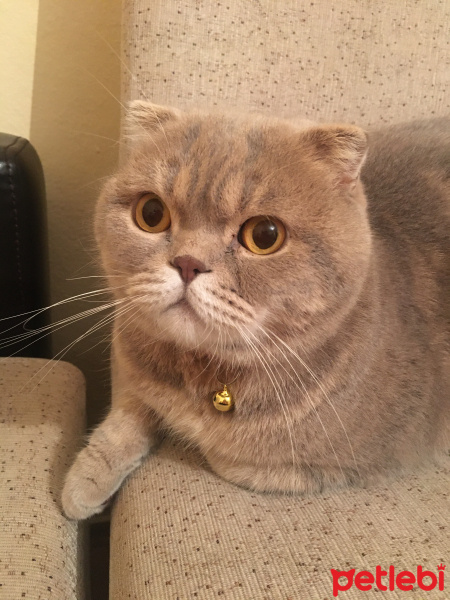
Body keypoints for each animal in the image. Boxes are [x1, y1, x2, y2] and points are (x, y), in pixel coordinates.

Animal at [60, 101, 450, 516]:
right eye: (151, 213)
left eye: (265, 235)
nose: (187, 263)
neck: (202, 376)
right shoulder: (132, 373)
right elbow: (128, 413)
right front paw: (83, 483)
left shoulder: (361, 462)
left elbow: (232, 457)